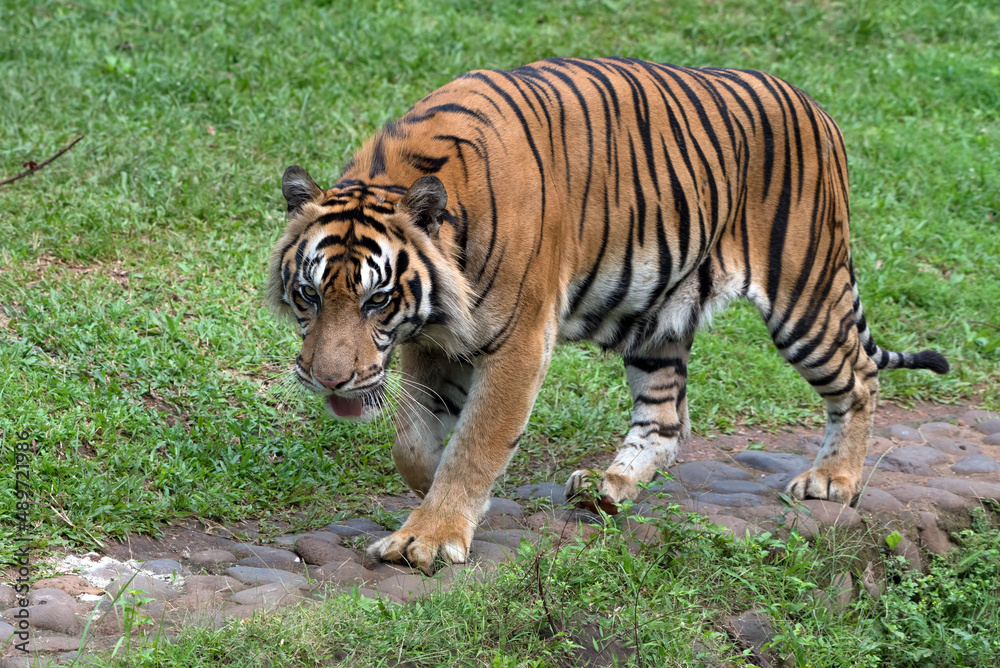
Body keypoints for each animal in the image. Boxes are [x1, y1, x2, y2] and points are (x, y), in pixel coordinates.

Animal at [268, 57, 948, 574]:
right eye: (309, 295)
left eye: (376, 300)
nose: (327, 380)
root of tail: (817, 107)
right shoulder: (436, 338)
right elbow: (414, 440)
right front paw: (439, 485)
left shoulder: (517, 341)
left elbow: (478, 442)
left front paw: (428, 537)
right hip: (657, 317)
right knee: (666, 420)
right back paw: (607, 488)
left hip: (804, 293)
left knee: (859, 376)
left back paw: (834, 479)